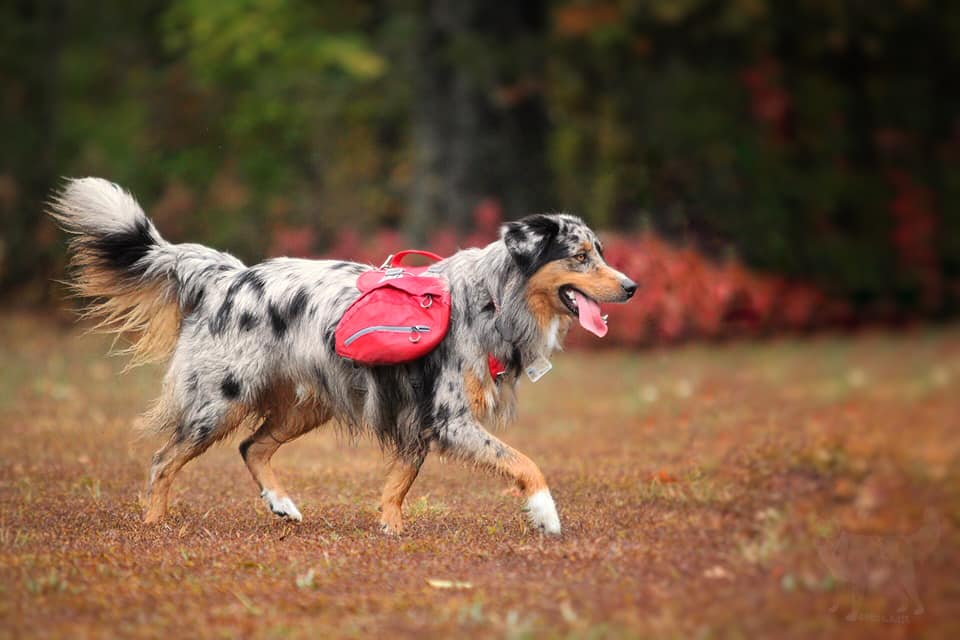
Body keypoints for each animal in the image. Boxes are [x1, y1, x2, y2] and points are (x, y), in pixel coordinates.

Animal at [52, 176, 636, 536]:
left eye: (600, 253)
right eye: (580, 256)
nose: (632, 287)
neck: (493, 298)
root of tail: (228, 276)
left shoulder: (418, 413)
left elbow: (399, 482)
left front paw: (391, 529)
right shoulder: (449, 416)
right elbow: (524, 462)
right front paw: (546, 515)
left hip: (308, 403)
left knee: (252, 446)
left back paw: (281, 504)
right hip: (220, 400)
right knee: (163, 459)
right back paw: (154, 524)